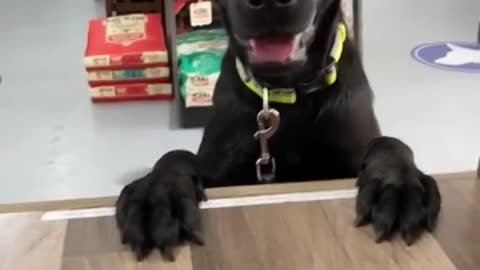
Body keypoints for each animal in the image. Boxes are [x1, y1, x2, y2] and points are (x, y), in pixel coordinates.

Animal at [114, 0, 440, 262]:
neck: (287, 94)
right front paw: (158, 195)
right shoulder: (222, 176)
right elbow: (175, 155)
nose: (270, 1)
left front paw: (396, 184)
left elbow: (389, 142)